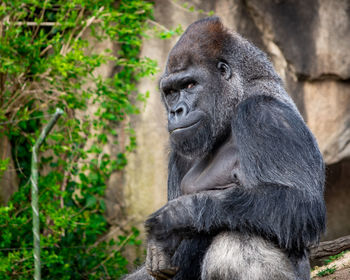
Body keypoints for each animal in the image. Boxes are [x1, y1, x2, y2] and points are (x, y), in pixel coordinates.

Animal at [125, 17, 326, 280]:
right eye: (171, 92)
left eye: (190, 85)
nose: (175, 111)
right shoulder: (180, 151)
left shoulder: (264, 115)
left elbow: (300, 204)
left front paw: (177, 216)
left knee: (237, 240)